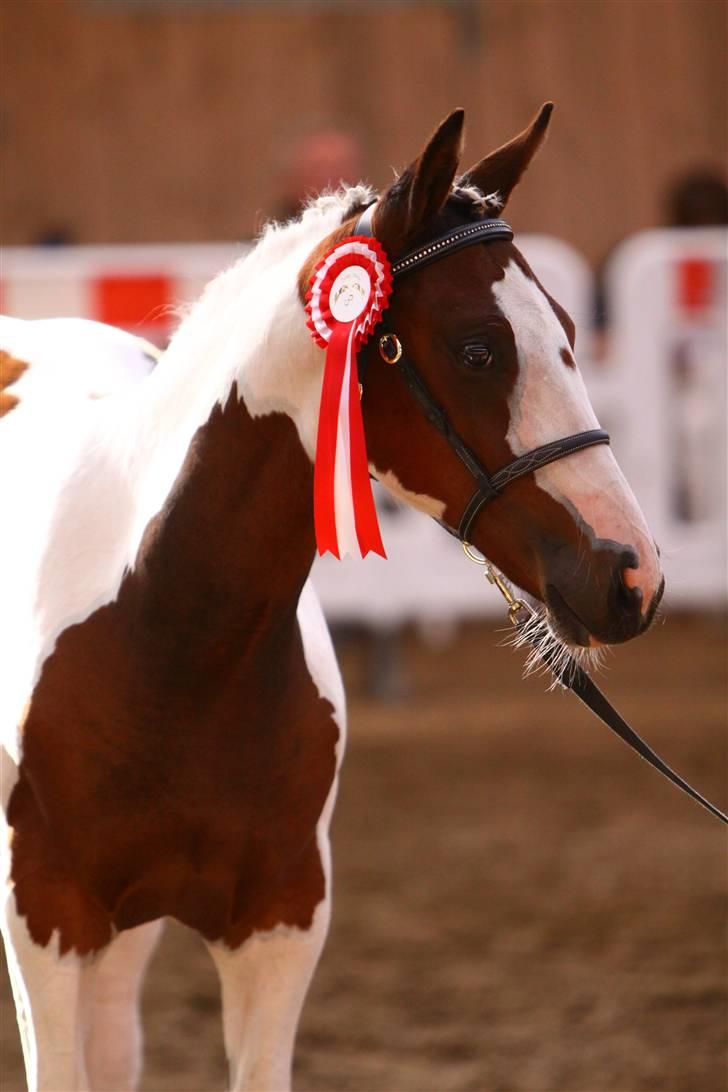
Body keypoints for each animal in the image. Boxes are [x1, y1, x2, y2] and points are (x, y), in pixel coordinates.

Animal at [0, 104, 663, 1092]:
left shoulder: (280, 924)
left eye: (570, 330)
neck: (168, 642)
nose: (632, 575)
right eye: (478, 347)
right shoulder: (44, 918)